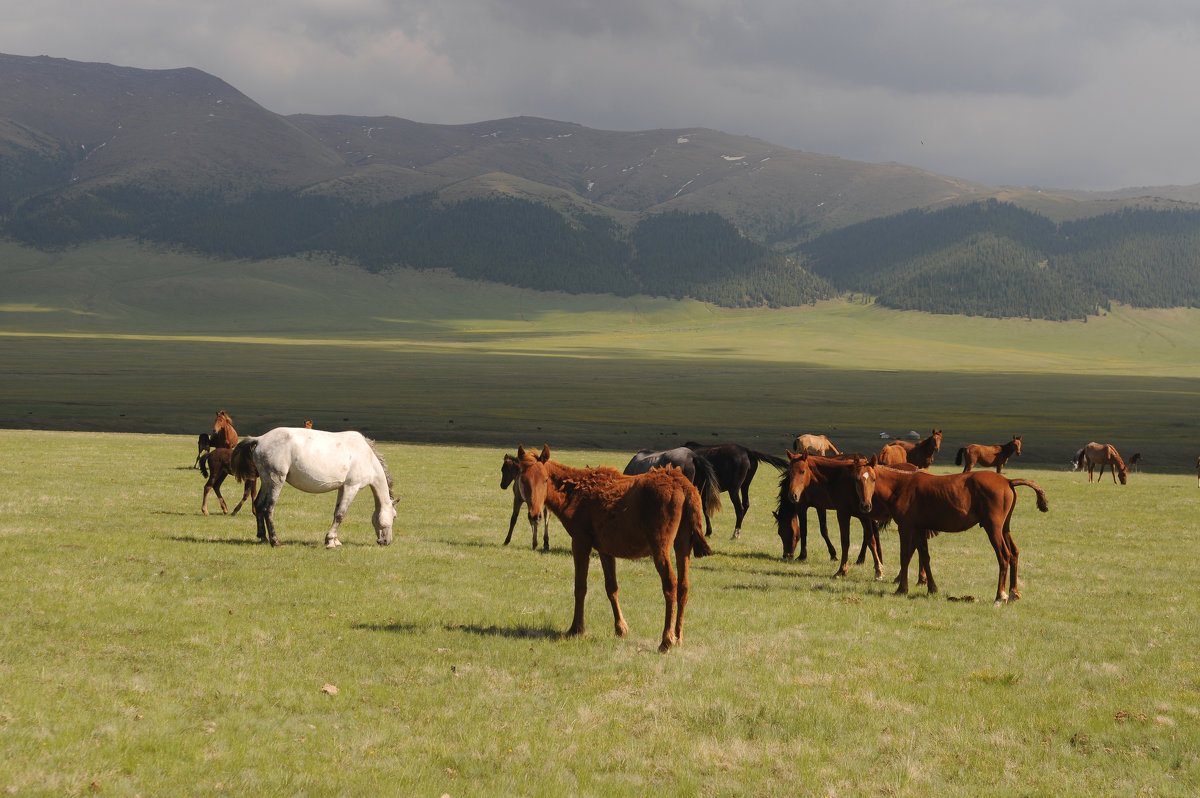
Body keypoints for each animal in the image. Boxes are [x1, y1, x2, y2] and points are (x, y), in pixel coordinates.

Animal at [231, 429, 400, 547]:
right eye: (394, 516)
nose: (386, 541)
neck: (366, 456)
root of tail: (260, 439)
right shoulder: (352, 487)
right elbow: (340, 515)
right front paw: (330, 541)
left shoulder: (342, 488)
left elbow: (336, 513)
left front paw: (335, 540)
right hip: (276, 481)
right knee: (268, 508)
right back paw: (275, 541)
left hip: (266, 482)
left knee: (258, 505)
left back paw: (263, 537)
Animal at [516, 441, 710, 652]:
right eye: (523, 480)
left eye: (545, 479)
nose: (535, 515)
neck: (571, 496)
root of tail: (685, 487)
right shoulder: (605, 548)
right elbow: (612, 587)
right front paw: (620, 628)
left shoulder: (580, 541)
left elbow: (580, 587)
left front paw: (576, 628)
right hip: (683, 544)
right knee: (684, 586)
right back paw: (679, 636)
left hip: (661, 546)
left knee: (670, 585)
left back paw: (666, 639)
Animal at [849, 453, 1046, 604]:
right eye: (857, 480)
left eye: (873, 479)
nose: (865, 506)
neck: (902, 486)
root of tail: (1007, 481)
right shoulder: (920, 528)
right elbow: (925, 556)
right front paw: (931, 588)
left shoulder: (906, 527)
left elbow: (905, 556)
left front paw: (902, 588)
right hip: (1005, 528)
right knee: (1014, 553)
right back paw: (1013, 592)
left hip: (994, 528)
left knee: (1004, 556)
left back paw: (1000, 596)